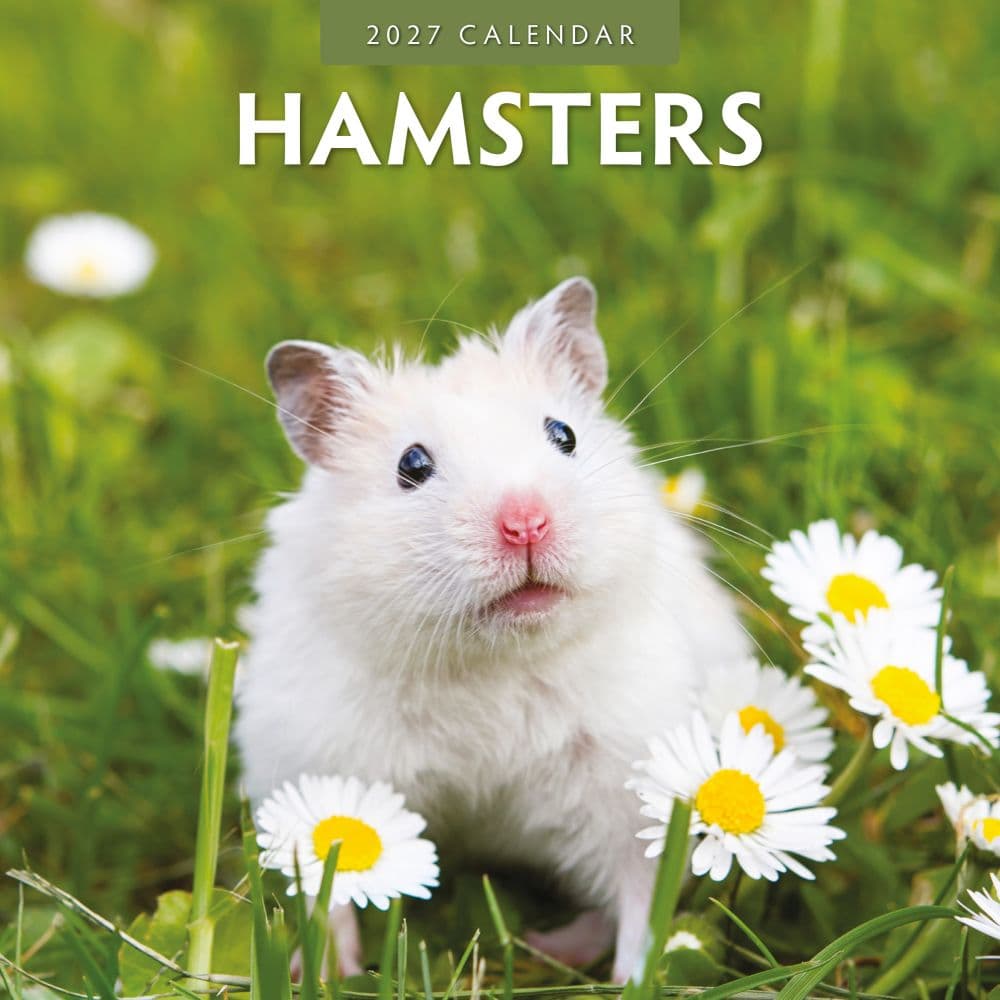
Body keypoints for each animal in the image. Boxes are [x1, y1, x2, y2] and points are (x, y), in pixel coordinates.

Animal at [235, 278, 749, 980]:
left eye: (564, 434)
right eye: (412, 464)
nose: (526, 523)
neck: (491, 660)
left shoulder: (628, 784)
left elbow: (644, 896)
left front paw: (633, 980)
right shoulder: (317, 766)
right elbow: (327, 889)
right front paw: (327, 973)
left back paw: (549, 945)